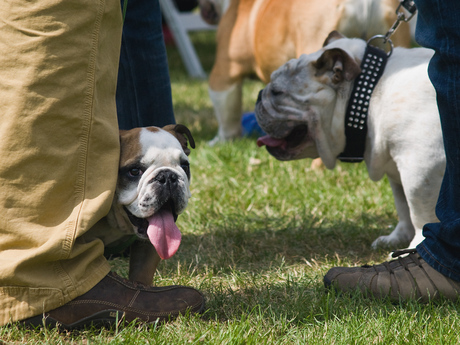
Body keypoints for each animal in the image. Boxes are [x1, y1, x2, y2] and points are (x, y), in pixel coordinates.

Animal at [256, 33, 444, 250]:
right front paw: (397, 238)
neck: (369, 95)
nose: (258, 96)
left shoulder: (421, 169)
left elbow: (420, 212)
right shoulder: (396, 173)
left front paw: (417, 245)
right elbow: (403, 206)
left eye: (277, 92)